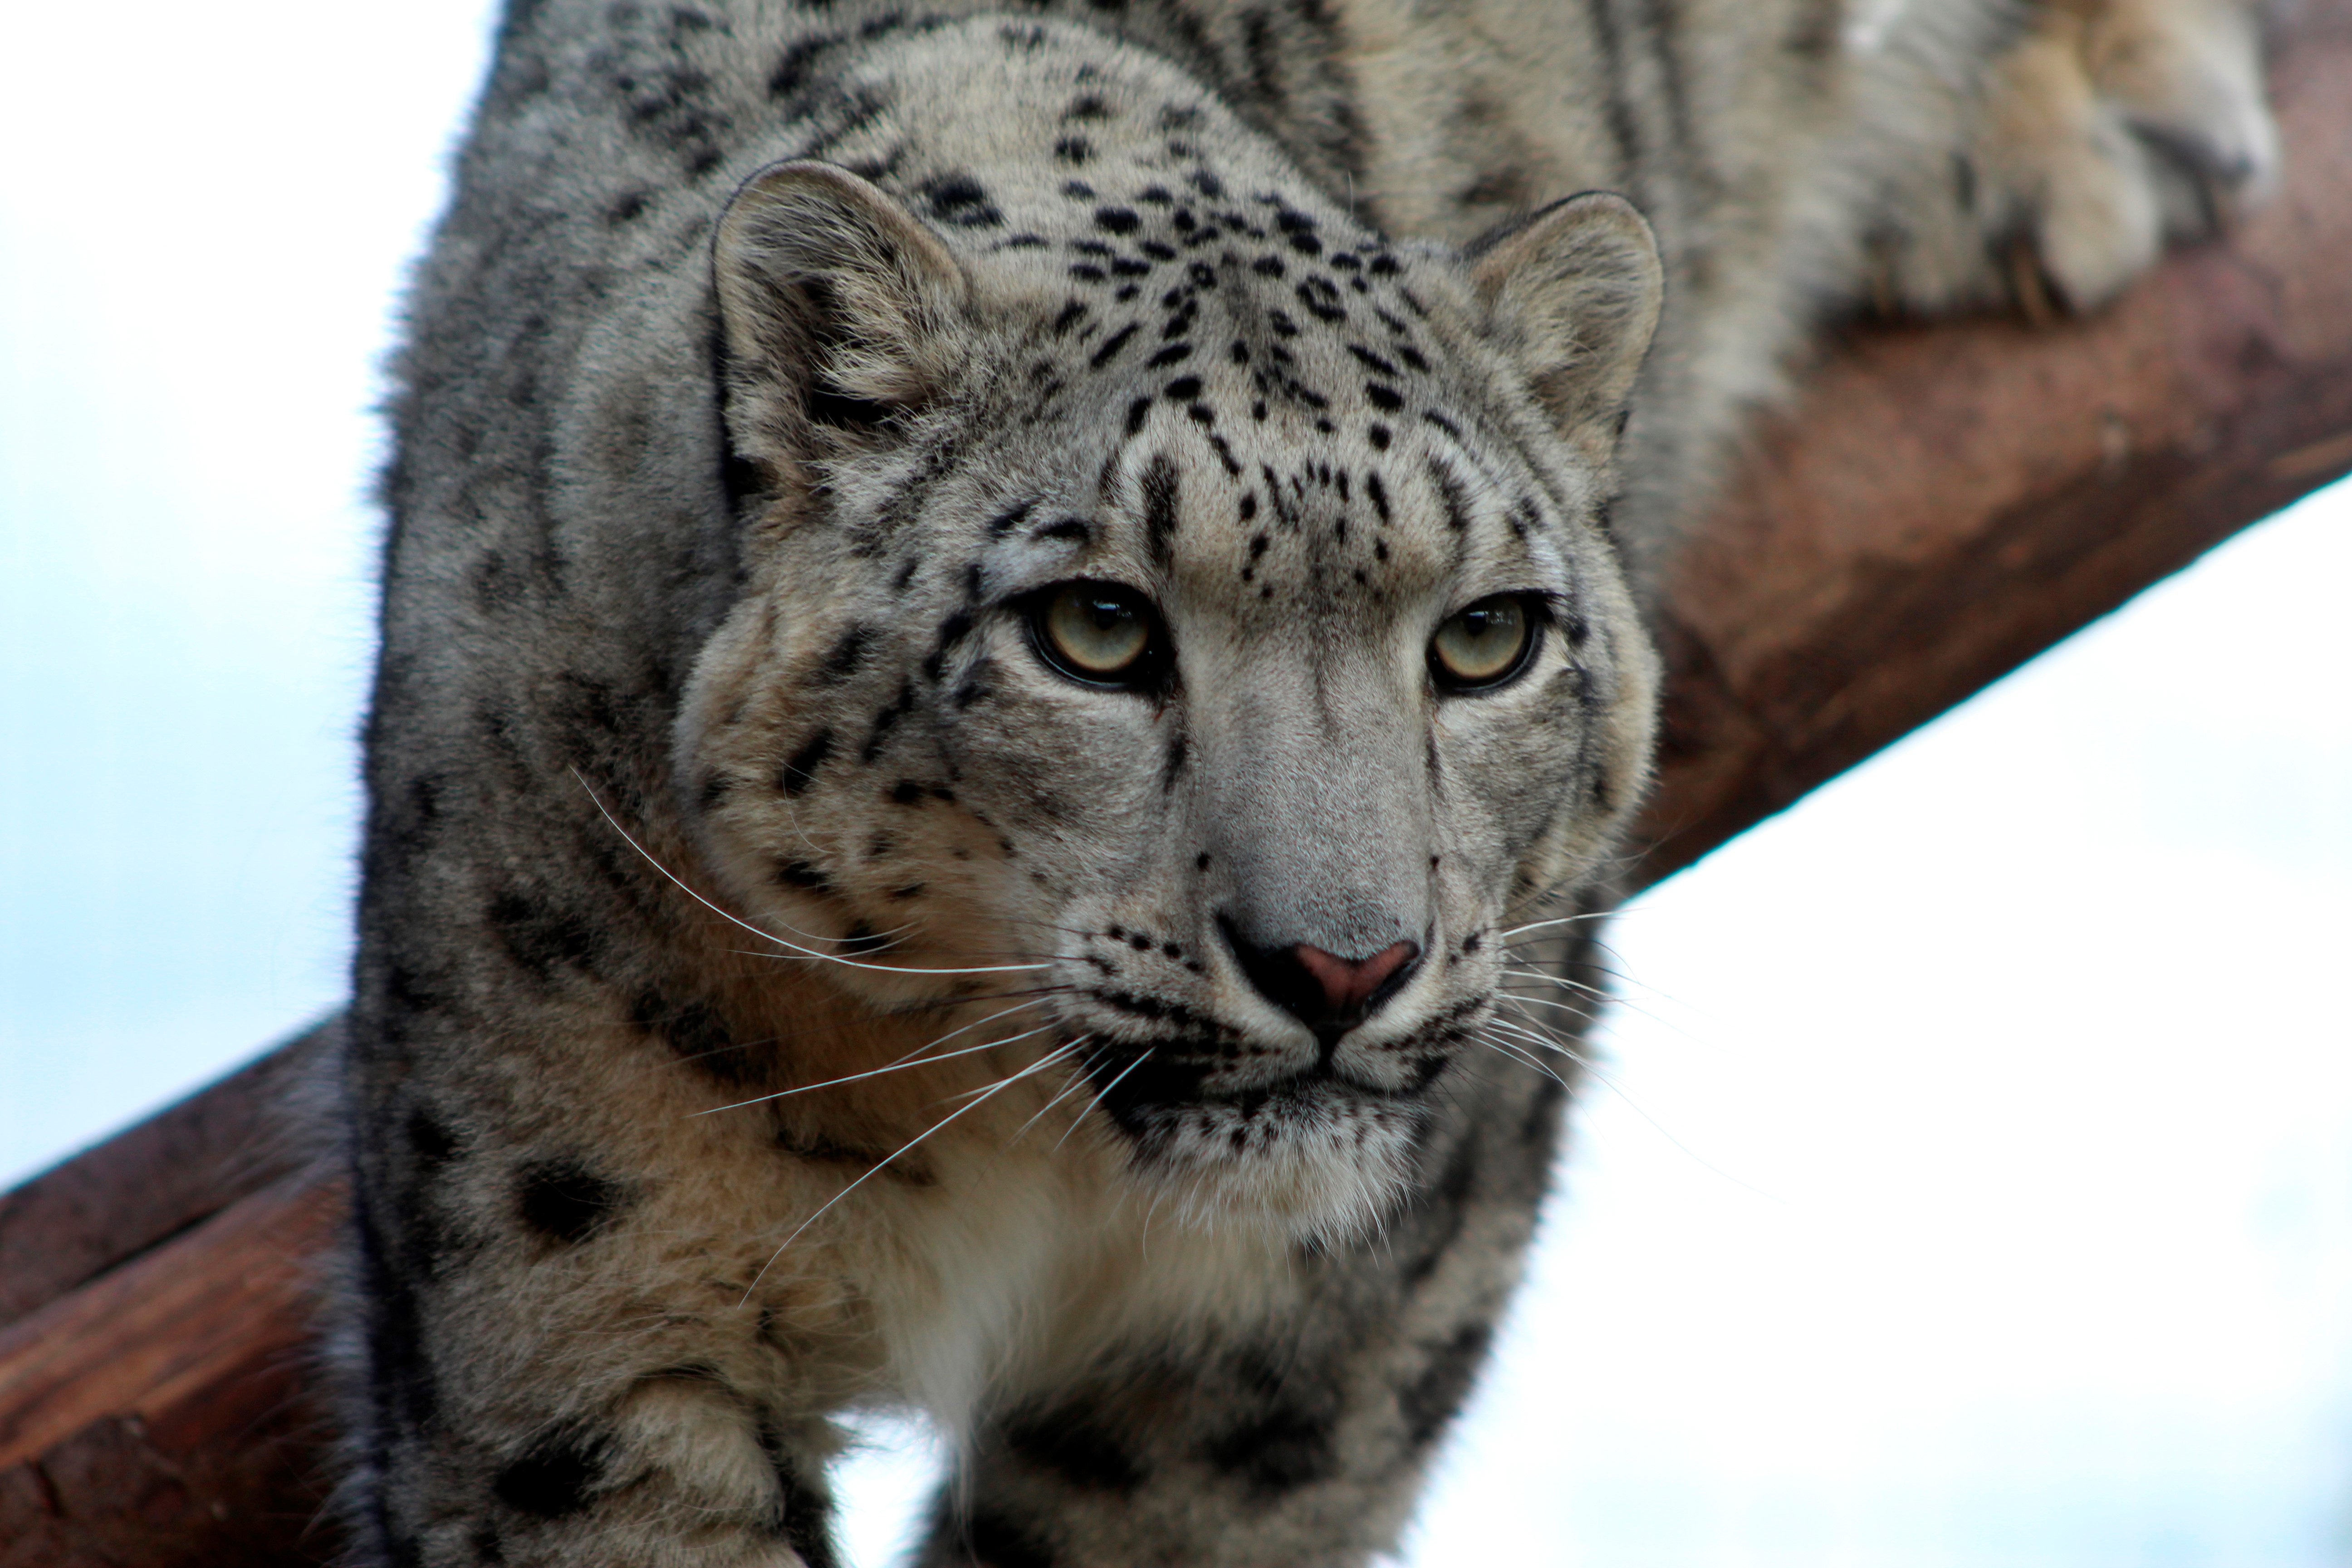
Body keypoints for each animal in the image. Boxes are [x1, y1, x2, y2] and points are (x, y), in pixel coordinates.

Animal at [348, 6, 2277, 1561]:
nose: (1344, 968)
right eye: (1097, 629)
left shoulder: (1320, 1332)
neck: (982, 1137)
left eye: (1486, 638)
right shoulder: (590, 1308)